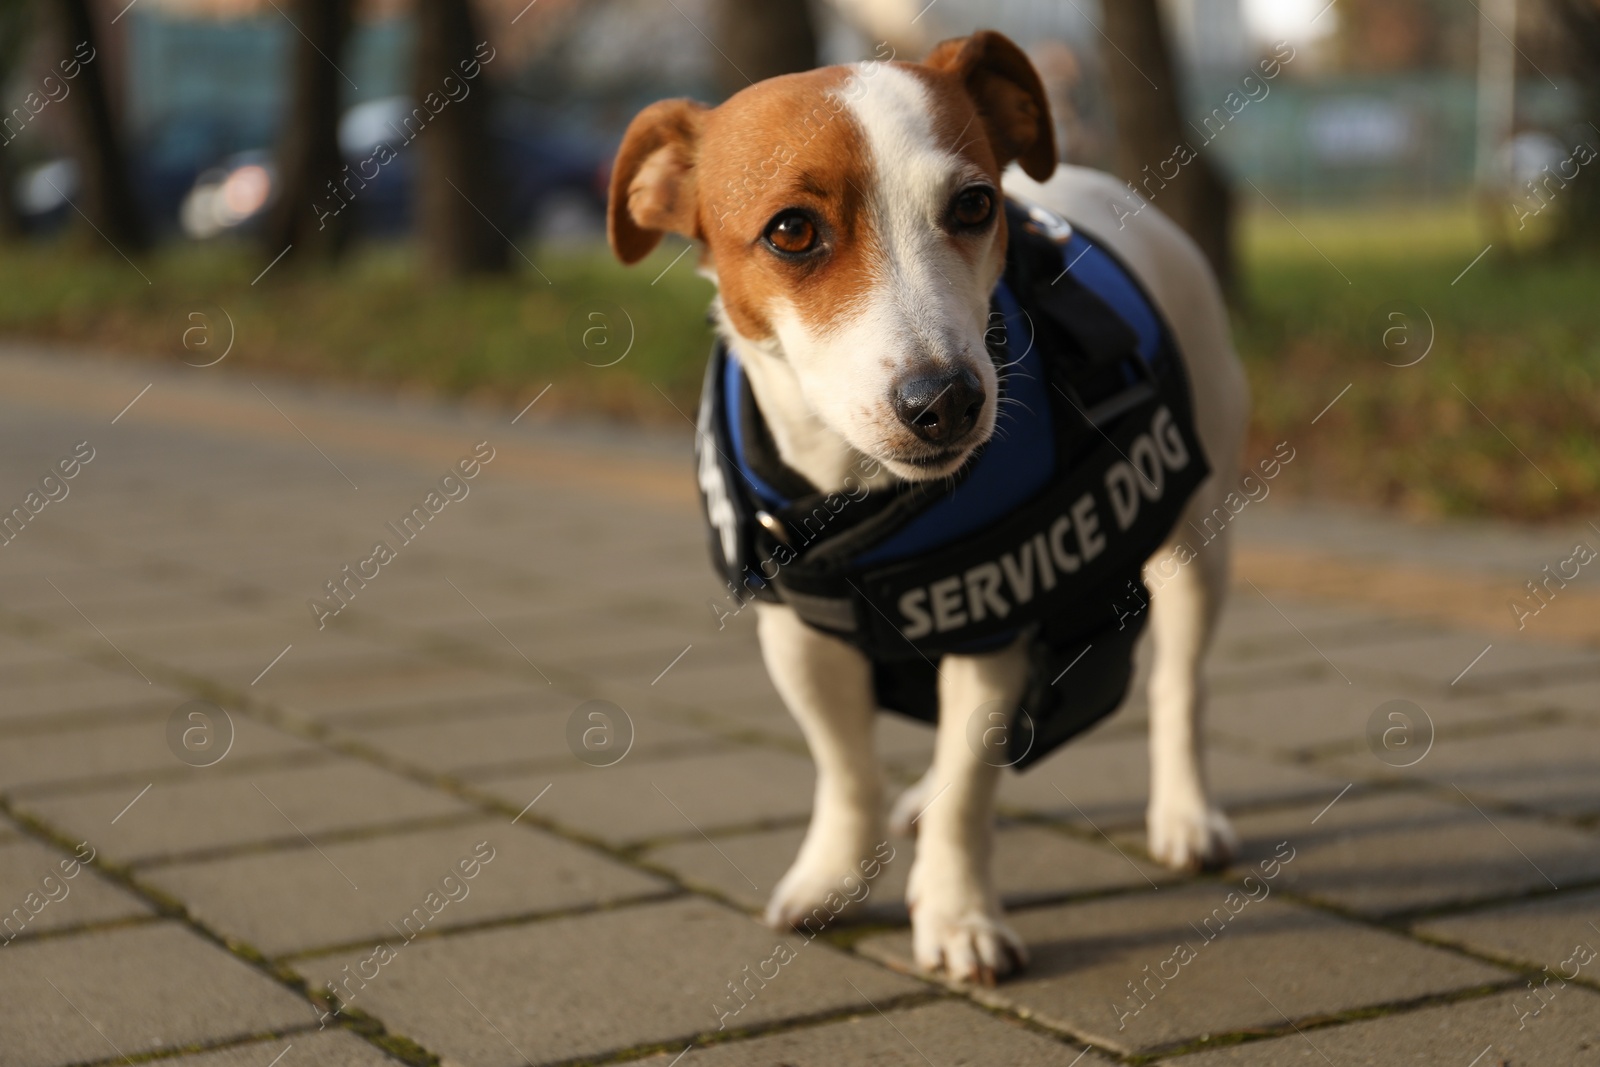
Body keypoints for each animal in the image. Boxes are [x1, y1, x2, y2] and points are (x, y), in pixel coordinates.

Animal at [604, 31, 1241, 985]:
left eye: (975, 204)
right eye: (792, 230)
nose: (946, 399)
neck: (859, 493)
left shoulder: (993, 621)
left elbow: (968, 790)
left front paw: (957, 914)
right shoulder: (802, 633)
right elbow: (845, 766)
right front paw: (833, 875)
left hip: (1197, 539)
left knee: (1181, 685)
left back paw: (1186, 812)